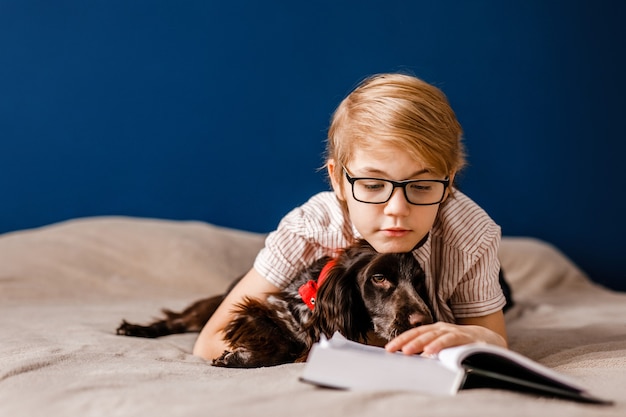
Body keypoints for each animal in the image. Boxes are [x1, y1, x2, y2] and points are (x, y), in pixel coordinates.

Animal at [114, 239, 432, 366]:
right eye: (379, 278)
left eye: (419, 282)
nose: (424, 321)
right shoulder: (256, 310)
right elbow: (285, 344)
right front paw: (237, 357)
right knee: (177, 319)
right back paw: (135, 329)